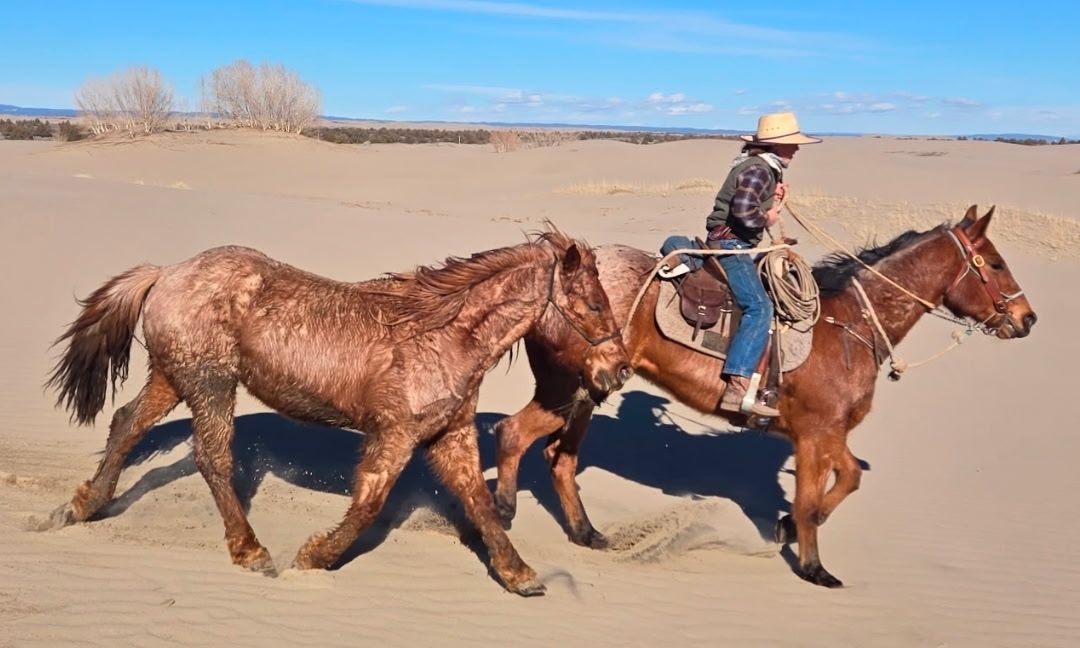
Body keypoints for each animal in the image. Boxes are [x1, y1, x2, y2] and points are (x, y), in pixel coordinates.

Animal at [44, 228, 632, 597]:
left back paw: (80, 507)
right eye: (595, 305)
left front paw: (518, 574)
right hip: (211, 384)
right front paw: (314, 557)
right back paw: (251, 551)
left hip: (174, 377)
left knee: (126, 426)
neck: (441, 335)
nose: (620, 370)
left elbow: (481, 505)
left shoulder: (451, 434)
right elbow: (368, 505)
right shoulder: (394, 436)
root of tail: (167, 272)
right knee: (211, 457)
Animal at [492, 206, 1037, 588]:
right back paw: (504, 509)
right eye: (994, 263)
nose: (1027, 318)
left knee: (559, 458)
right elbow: (812, 500)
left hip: (586, 391)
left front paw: (786, 528)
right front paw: (814, 566)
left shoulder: (826, 433)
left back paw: (586, 533)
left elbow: (849, 479)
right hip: (569, 388)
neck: (850, 328)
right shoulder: (815, 435)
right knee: (514, 433)